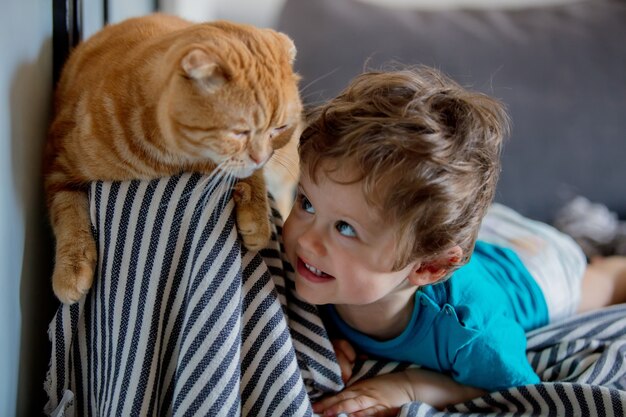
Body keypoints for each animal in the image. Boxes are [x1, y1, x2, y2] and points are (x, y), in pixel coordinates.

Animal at [44, 14, 302, 304]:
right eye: (239, 132)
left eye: (279, 129)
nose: (261, 157)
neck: (166, 158)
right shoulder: (58, 161)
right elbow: (68, 214)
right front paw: (72, 267)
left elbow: (248, 175)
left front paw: (257, 216)